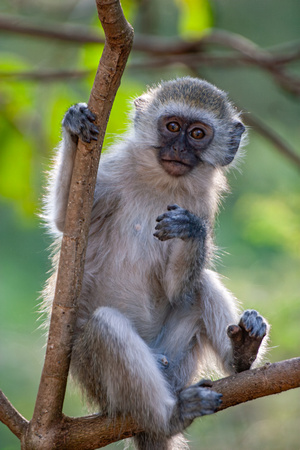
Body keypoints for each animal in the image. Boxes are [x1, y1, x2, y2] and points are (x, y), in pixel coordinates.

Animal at [43, 78, 268, 450]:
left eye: (197, 134)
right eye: (172, 127)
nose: (178, 148)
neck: (162, 182)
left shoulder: (201, 203)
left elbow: (177, 289)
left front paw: (191, 230)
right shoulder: (114, 170)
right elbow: (66, 221)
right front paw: (74, 126)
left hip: (176, 364)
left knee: (200, 283)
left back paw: (241, 355)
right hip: (99, 378)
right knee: (105, 326)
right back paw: (171, 416)